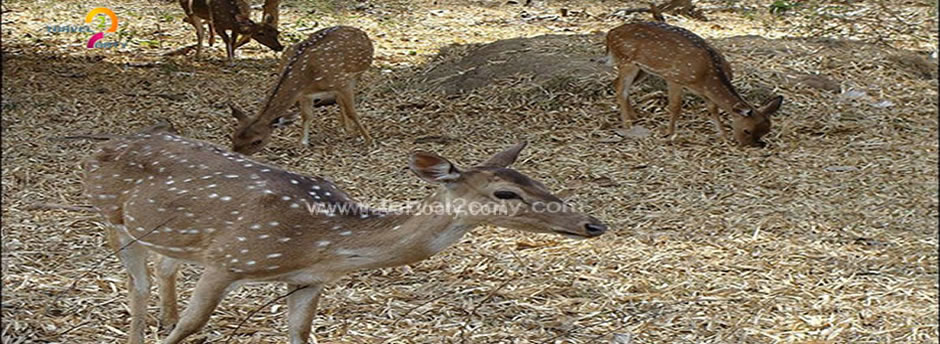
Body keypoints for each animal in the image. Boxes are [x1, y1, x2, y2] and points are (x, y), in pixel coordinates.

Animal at [84, 134, 604, 344]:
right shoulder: (228, 257)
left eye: (536, 180)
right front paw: (174, 330)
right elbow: (191, 328)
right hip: (112, 217)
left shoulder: (307, 280)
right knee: (137, 285)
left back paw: (161, 316)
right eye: (506, 192)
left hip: (166, 236)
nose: (593, 224)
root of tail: (102, 147)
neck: (323, 241)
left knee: (164, 266)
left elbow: (299, 333)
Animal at [229, 26, 372, 155]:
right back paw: (346, 127)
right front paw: (302, 143)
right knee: (339, 100)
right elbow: (306, 115)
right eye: (233, 136)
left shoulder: (342, 82)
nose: (236, 154)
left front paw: (368, 139)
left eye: (257, 141)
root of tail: (360, 31)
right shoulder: (305, 94)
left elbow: (352, 112)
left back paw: (350, 129)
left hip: (356, 75)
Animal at [604, 20, 784, 146]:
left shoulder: (703, 91)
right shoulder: (674, 78)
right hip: (627, 61)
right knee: (621, 89)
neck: (705, 76)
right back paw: (627, 125)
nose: (751, 145)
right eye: (747, 130)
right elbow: (675, 107)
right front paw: (670, 134)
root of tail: (610, 34)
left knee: (616, 83)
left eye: (767, 131)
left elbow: (713, 108)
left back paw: (635, 117)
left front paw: (723, 136)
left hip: (642, 69)